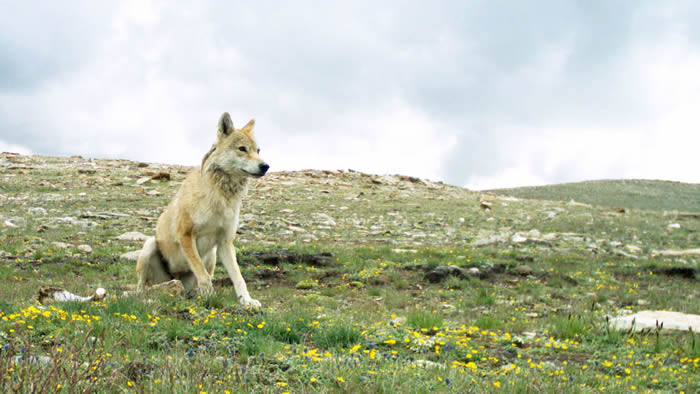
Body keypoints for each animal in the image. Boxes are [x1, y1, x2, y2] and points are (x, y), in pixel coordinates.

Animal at [135, 112, 270, 306]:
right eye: (242, 149)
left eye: (258, 151)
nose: (265, 166)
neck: (221, 197)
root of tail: (175, 277)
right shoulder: (185, 234)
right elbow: (203, 275)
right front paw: (210, 297)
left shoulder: (225, 242)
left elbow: (238, 278)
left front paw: (247, 301)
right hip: (149, 246)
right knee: (141, 287)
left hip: (212, 255)